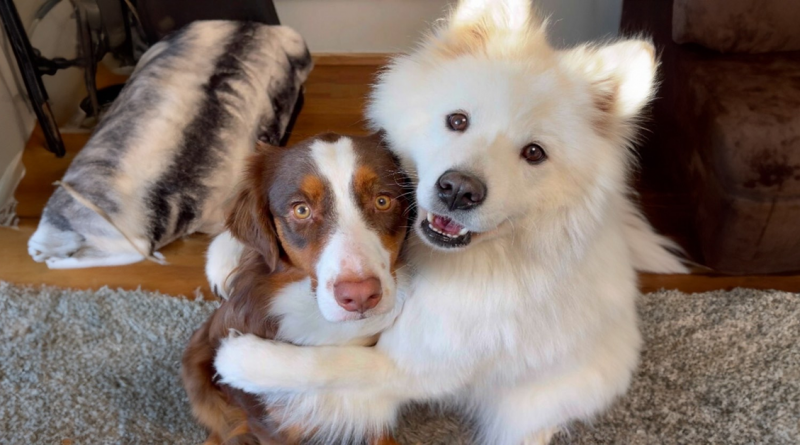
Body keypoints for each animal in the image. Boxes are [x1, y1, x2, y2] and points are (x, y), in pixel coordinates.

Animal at [209, 1, 684, 442]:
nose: (458, 189)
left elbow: (329, 362)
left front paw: (241, 359)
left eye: (534, 153)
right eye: (458, 120)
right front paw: (224, 255)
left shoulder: (415, 365)